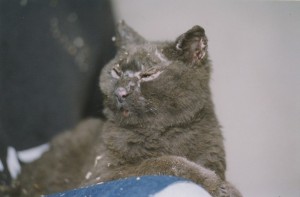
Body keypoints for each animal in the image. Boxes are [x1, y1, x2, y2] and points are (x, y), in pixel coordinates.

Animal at [4, 21, 241, 197]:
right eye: (116, 71)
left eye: (148, 74)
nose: (121, 92)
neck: (162, 134)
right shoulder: (101, 176)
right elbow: (163, 162)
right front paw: (218, 186)